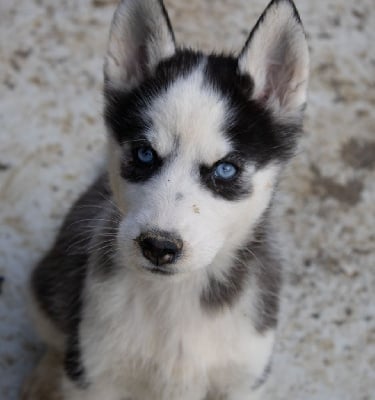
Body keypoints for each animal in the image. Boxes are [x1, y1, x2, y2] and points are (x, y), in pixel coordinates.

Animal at [23, 0, 310, 400]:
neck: (177, 295)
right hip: (47, 290)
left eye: (225, 170)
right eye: (144, 154)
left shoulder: (243, 377)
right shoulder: (94, 373)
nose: (159, 247)